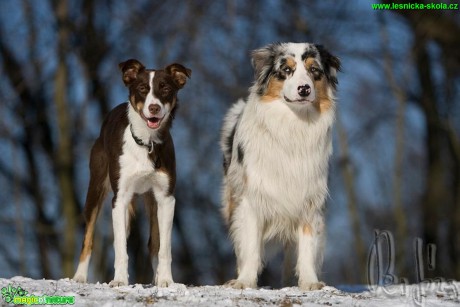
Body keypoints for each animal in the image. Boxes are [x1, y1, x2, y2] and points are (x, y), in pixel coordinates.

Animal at [73, 60, 190, 288]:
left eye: (165, 88)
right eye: (142, 89)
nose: (154, 108)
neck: (147, 142)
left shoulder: (166, 198)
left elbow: (164, 247)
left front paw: (165, 280)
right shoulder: (120, 198)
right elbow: (119, 247)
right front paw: (119, 280)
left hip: (151, 201)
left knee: (154, 242)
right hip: (96, 188)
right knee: (88, 237)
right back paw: (79, 277)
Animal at [221, 42, 340, 292]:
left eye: (314, 70)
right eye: (286, 70)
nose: (304, 89)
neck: (293, 125)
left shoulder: (310, 200)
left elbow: (306, 246)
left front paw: (309, 282)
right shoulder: (251, 199)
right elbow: (251, 246)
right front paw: (245, 281)